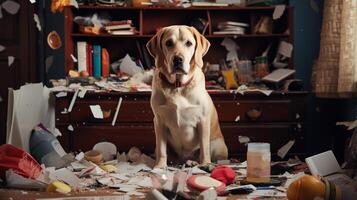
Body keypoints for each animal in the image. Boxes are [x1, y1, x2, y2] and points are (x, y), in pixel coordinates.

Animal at [145, 25, 227, 168]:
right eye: (168, 43)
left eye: (189, 43)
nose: (178, 59)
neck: (178, 86)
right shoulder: (159, 121)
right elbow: (161, 148)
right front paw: (160, 166)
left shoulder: (203, 120)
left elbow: (204, 147)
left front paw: (205, 163)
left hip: (217, 145)